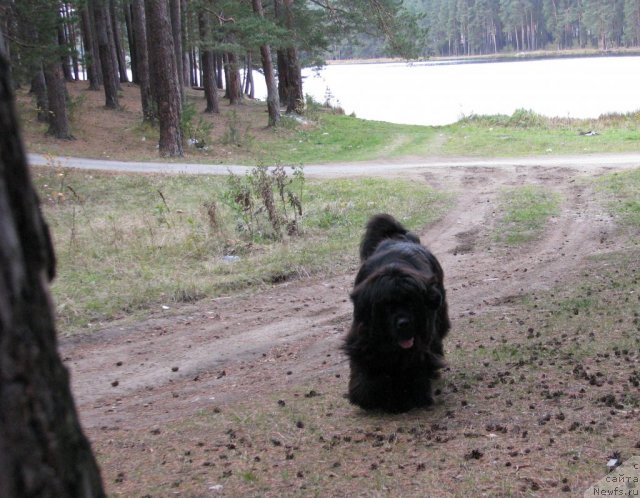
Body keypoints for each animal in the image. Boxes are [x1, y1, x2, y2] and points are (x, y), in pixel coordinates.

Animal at [342, 214, 452, 412]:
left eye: (411, 302)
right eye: (386, 306)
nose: (404, 323)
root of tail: (399, 238)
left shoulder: (420, 338)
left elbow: (414, 362)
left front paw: (409, 396)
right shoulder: (364, 336)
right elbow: (365, 363)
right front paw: (366, 396)